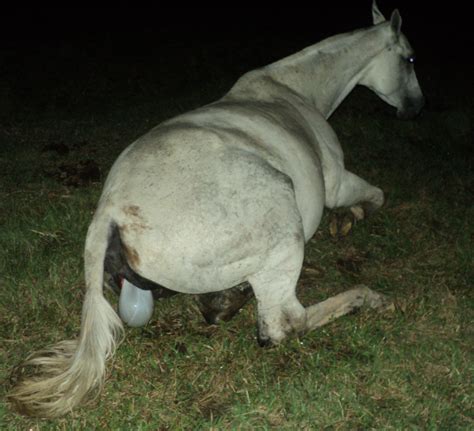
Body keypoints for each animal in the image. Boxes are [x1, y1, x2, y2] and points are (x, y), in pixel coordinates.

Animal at [9, 0, 424, 418]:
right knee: (284, 323)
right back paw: (366, 298)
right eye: (409, 58)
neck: (294, 90)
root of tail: (110, 212)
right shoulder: (336, 184)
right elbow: (375, 196)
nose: (417, 107)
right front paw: (349, 219)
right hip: (282, 218)